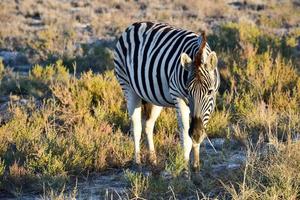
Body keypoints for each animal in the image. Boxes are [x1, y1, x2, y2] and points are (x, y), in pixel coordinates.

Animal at [113, 21, 219, 173]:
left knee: (148, 125)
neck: (198, 53)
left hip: (155, 97)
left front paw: (196, 168)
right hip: (127, 86)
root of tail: (136, 24)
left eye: (210, 92)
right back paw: (137, 163)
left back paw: (153, 160)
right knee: (137, 127)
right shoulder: (179, 97)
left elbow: (197, 132)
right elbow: (185, 136)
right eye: (188, 91)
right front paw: (185, 170)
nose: (196, 133)